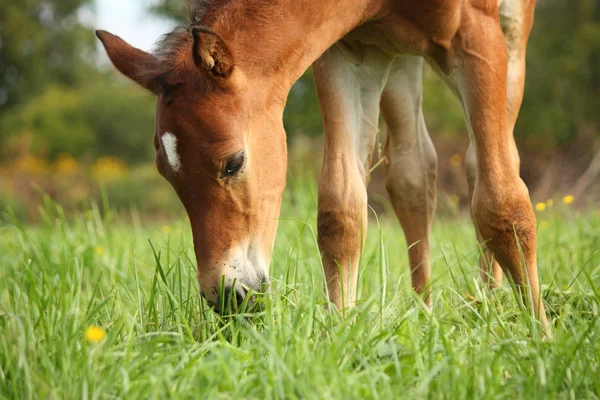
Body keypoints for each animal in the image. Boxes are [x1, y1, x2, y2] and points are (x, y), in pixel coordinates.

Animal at [99, 0, 552, 334]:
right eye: (167, 174)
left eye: (234, 162)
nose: (226, 296)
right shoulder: (347, 52)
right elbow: (341, 210)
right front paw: (340, 335)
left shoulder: (475, 32)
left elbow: (503, 203)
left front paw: (539, 338)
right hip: (400, 54)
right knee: (412, 170)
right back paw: (425, 310)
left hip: (508, 32)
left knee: (486, 162)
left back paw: (488, 299)